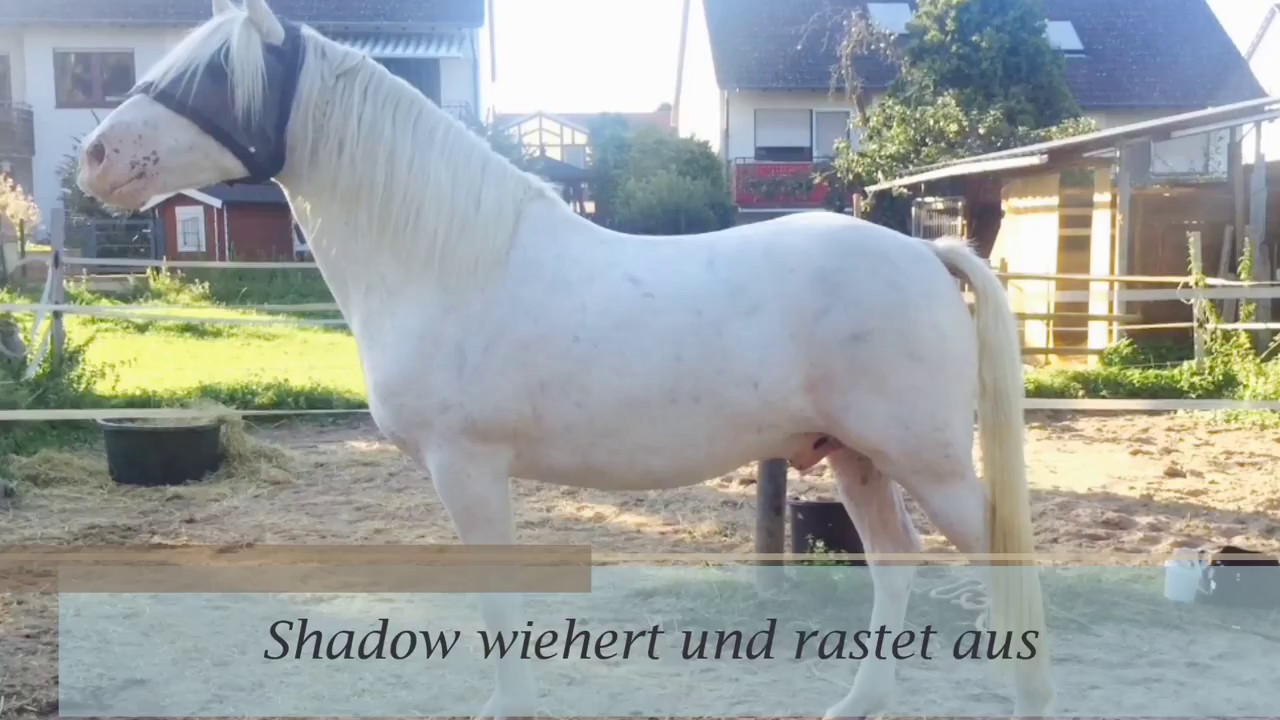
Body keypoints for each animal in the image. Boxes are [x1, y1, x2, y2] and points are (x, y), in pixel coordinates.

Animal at [75, 1, 1054, 717]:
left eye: (207, 75)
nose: (94, 156)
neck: (447, 259)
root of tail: (925, 253)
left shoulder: (466, 467)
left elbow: (497, 598)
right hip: (856, 456)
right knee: (895, 560)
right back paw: (855, 703)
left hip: (925, 459)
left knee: (999, 558)